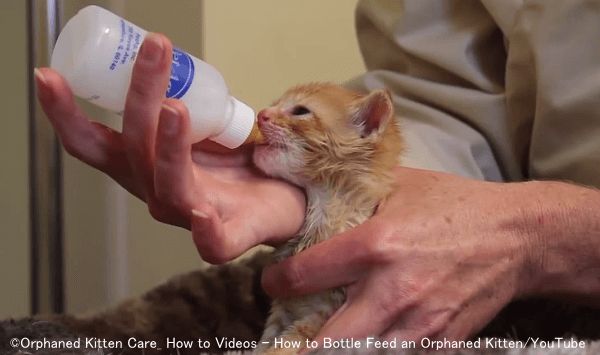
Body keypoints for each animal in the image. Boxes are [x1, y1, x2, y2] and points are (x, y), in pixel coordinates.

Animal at [251, 82, 406, 354]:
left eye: (300, 111)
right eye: (274, 104)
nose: (261, 114)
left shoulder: (325, 315)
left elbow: (289, 343)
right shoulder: (282, 309)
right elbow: (266, 342)